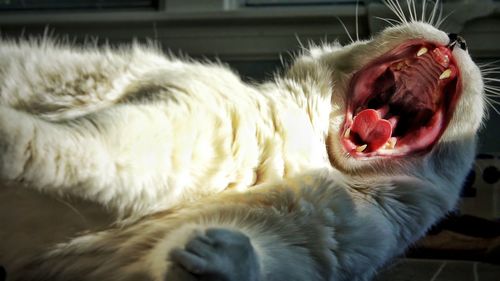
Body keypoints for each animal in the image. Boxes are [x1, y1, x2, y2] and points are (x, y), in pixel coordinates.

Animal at [0, 0, 490, 280]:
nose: (461, 38)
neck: (319, 164)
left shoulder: (308, 256)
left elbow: (257, 259)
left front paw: (216, 251)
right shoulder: (169, 123)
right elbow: (79, 152)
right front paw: (11, 139)